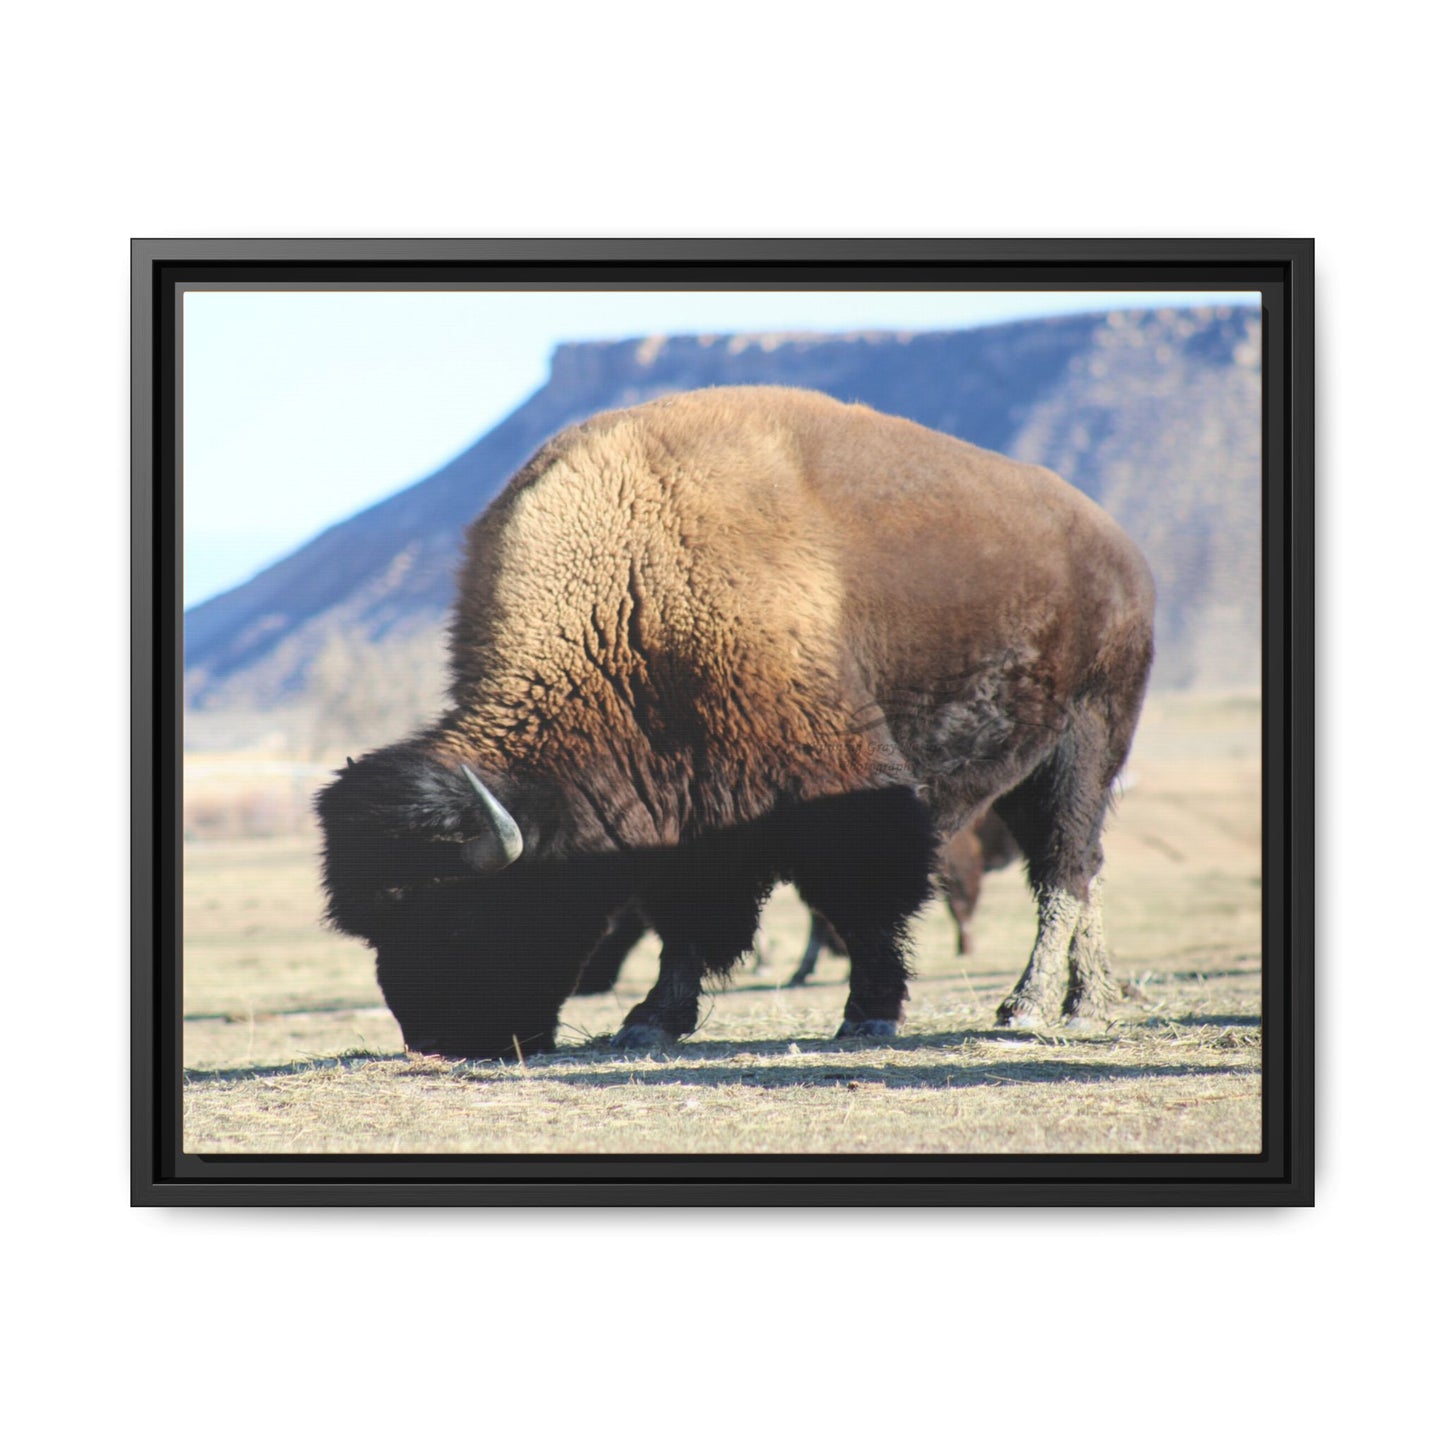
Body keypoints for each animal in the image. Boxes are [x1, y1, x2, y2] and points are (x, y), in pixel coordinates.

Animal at [316, 385, 1154, 1057]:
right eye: (375, 927)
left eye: (457, 914)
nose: (437, 1039)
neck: (630, 596)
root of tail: (1118, 548)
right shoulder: (685, 812)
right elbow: (686, 920)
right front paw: (649, 1021)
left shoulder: (838, 787)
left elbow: (865, 899)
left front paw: (868, 1013)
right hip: (1026, 770)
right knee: (1080, 868)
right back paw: (1087, 998)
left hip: (1085, 743)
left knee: (1064, 869)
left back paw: (1033, 1006)